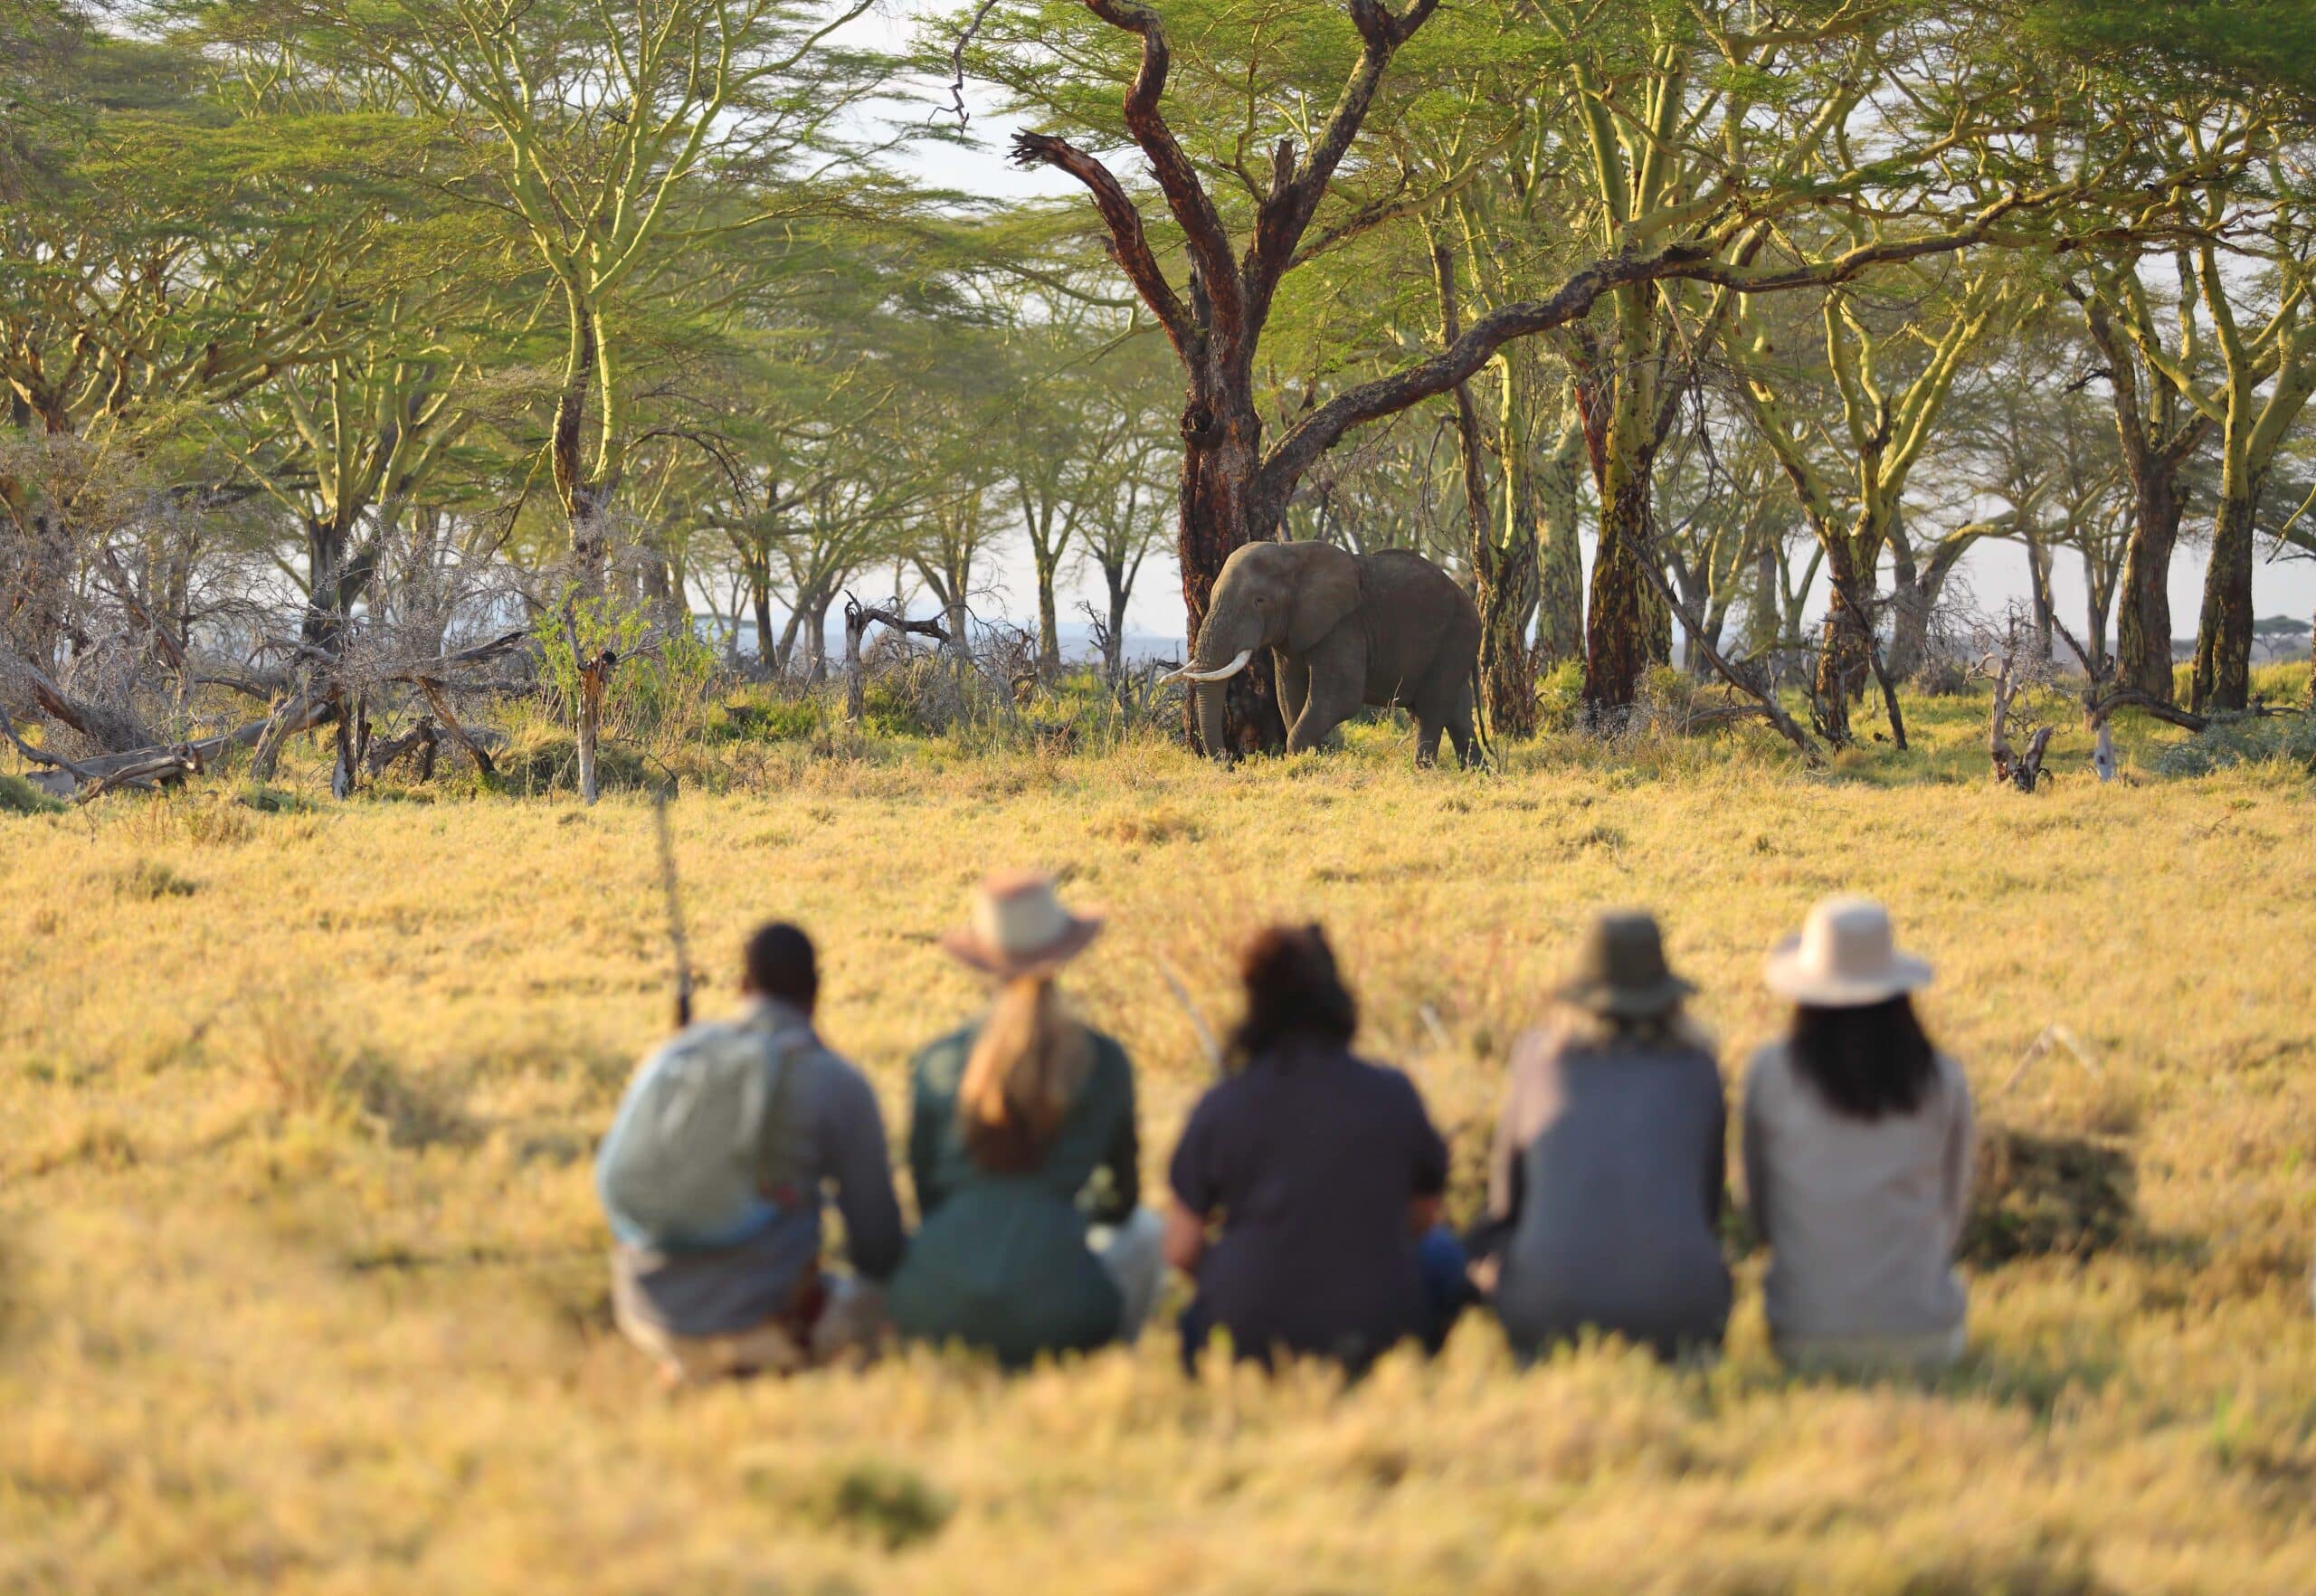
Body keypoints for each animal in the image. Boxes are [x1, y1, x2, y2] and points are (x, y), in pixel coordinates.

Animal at [1158, 537, 1482, 768]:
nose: (1230, 763)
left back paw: (1422, 772)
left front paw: (1300, 762)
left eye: (1258, 601)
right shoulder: (1292, 632)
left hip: (1457, 637)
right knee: (1457, 713)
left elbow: (1340, 697)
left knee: (1431, 709)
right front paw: (1307, 762)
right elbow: (1289, 695)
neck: (1290, 554)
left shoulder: (1344, 624)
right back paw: (1477, 773)